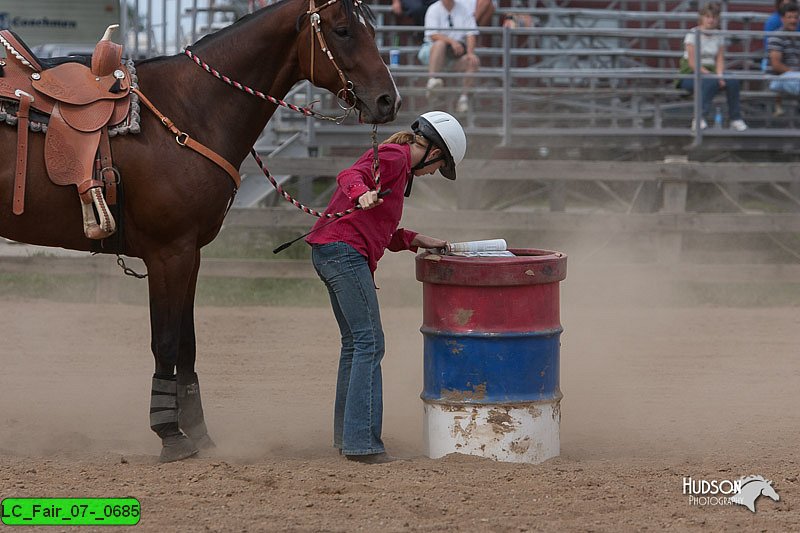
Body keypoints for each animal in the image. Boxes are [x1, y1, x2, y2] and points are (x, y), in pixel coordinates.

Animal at [0, 0, 400, 460]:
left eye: (373, 28)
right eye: (342, 30)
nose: (388, 99)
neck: (191, 108)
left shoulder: (190, 253)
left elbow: (187, 343)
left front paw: (199, 432)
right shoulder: (167, 253)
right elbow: (165, 340)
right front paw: (169, 434)